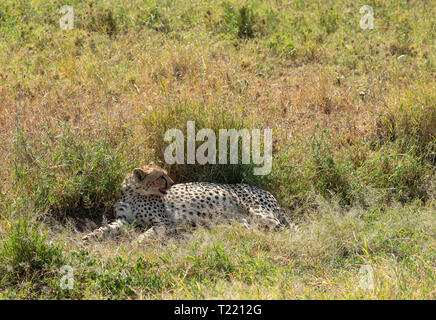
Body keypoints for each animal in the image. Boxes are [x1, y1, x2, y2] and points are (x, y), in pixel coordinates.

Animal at [82, 164, 292, 244]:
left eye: (166, 174)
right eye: (161, 177)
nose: (173, 182)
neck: (133, 193)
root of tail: (268, 192)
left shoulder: (164, 222)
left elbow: (148, 233)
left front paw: (136, 242)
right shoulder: (125, 220)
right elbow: (107, 228)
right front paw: (89, 237)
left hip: (259, 213)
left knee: (279, 228)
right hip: (239, 219)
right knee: (251, 228)